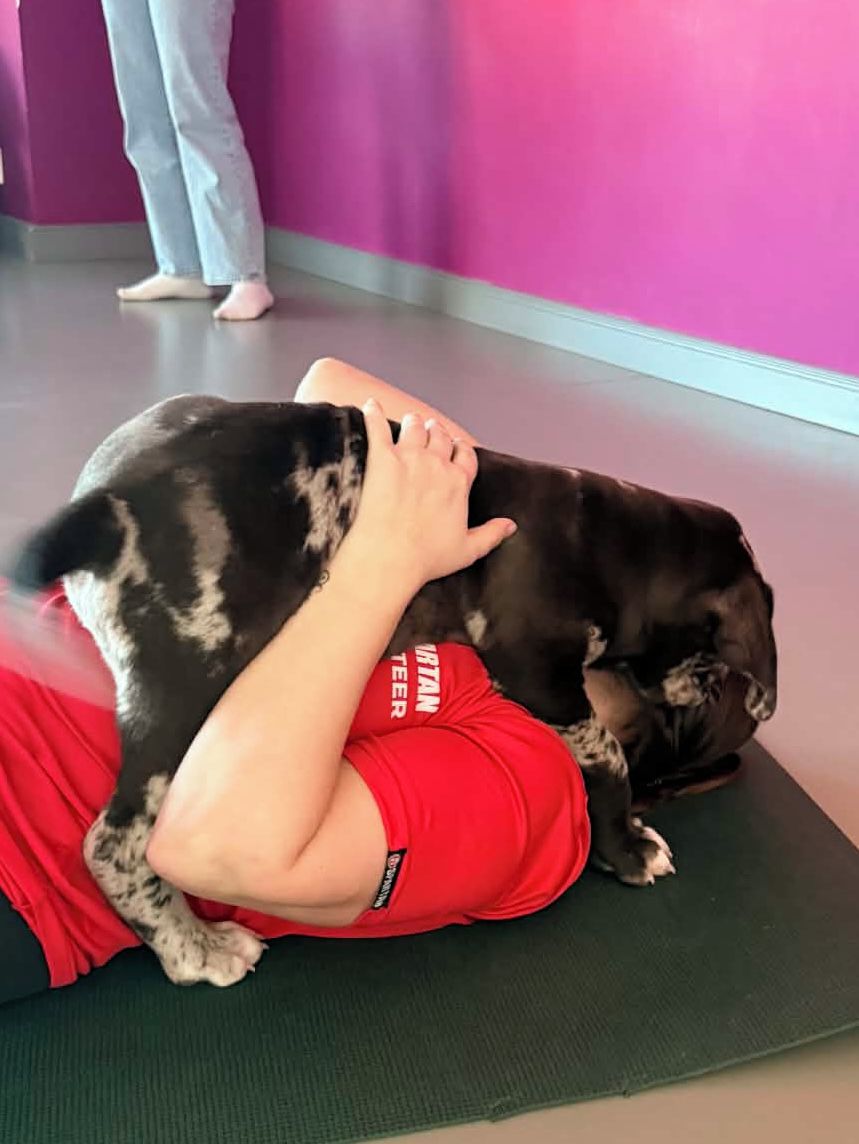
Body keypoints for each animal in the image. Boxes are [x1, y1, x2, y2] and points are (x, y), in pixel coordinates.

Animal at [9, 394, 776, 985]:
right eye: (713, 672)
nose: (701, 693)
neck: (616, 543)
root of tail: (106, 502)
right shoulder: (535, 665)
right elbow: (609, 760)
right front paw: (629, 847)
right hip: (194, 675)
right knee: (114, 844)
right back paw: (193, 951)